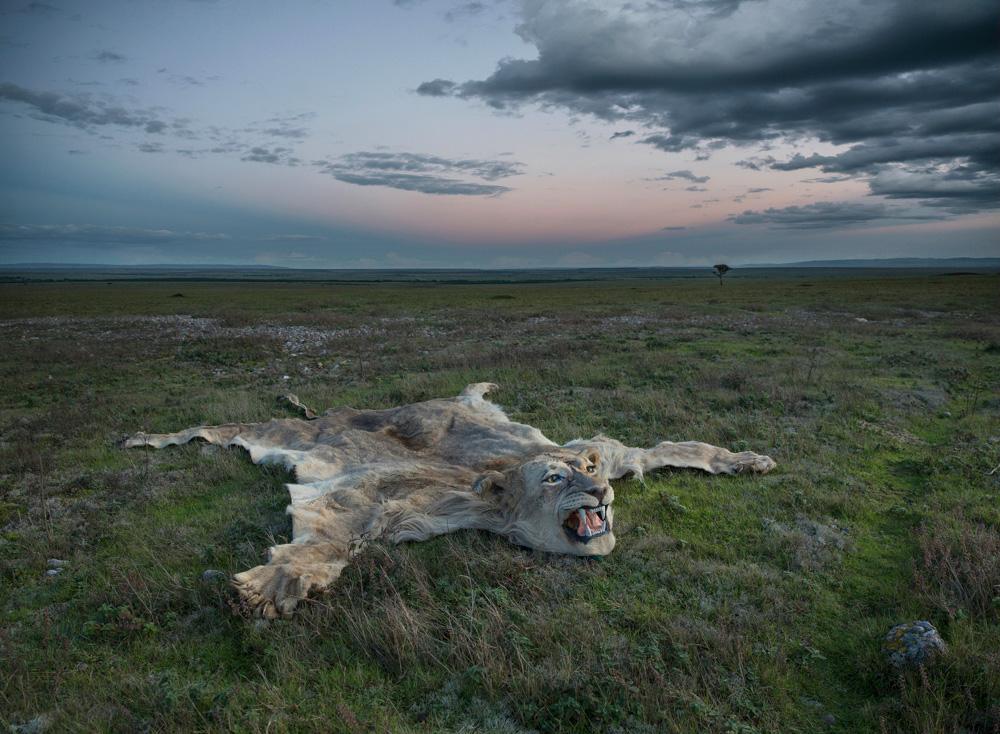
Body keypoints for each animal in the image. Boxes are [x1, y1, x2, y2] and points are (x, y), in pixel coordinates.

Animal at [125, 383, 775, 618]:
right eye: (554, 481)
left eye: (588, 470)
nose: (598, 490)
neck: (501, 491)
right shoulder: (390, 499)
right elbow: (332, 535)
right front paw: (270, 587)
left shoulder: (612, 452)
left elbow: (676, 446)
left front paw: (749, 460)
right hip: (285, 433)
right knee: (220, 428)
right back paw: (142, 439)